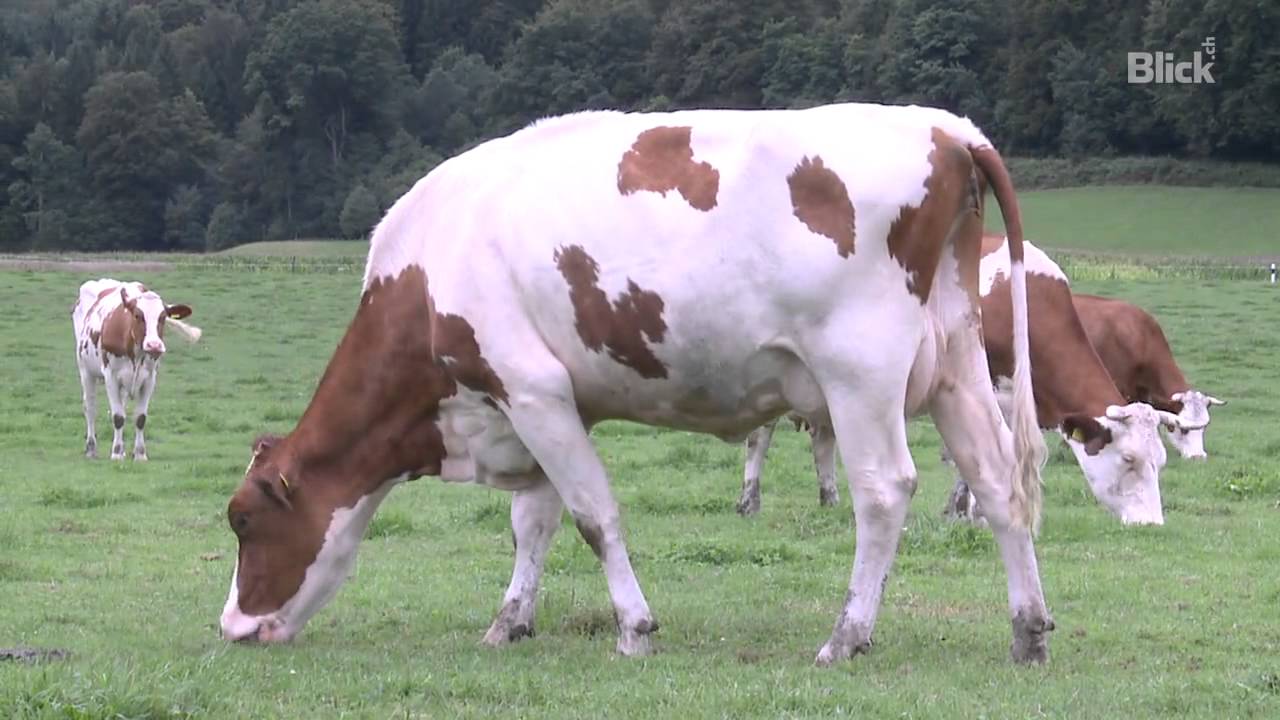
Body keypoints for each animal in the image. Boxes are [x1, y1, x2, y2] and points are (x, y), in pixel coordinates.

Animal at [72, 279, 200, 460]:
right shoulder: (110, 376)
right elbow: (118, 417)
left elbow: (140, 417)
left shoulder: (150, 378)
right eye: (138, 316)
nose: (154, 345)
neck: (136, 355)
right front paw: (116, 453)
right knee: (90, 408)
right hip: (85, 370)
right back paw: (91, 448)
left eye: (163, 317)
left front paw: (139, 453)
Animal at [219, 103, 1056, 666]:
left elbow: (594, 518)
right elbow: (534, 522)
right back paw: (1027, 630)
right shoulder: (547, 404)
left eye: (243, 523)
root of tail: (945, 128)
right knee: (997, 481)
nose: (231, 627)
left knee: (884, 492)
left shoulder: (528, 389)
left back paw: (846, 635)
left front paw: (634, 629)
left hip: (860, 372)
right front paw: (510, 621)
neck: (426, 272)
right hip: (954, 366)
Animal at [736, 236, 1209, 526]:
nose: (1151, 523)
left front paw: (962, 509)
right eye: (1128, 459)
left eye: (1160, 460)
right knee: (760, 436)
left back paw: (830, 497)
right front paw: (976, 511)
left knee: (823, 439)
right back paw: (749, 500)